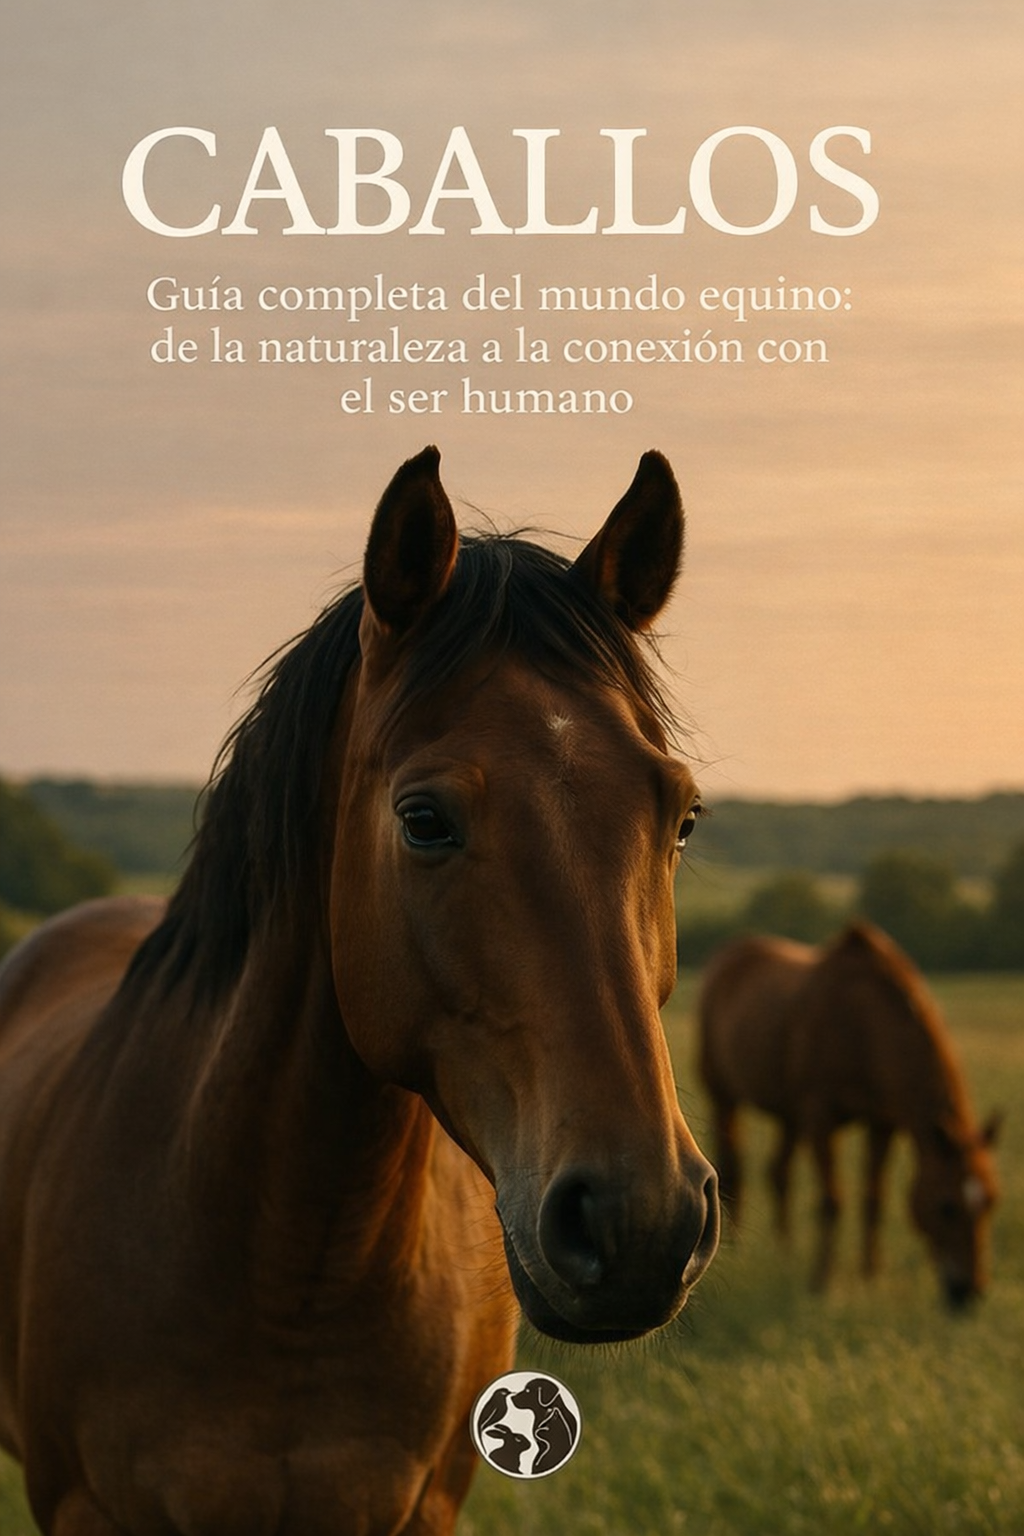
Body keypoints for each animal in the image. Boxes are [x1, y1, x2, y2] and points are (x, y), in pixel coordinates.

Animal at [697, 921, 999, 1308]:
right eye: (946, 1206)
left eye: (991, 1200)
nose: (970, 1290)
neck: (864, 1027)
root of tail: (726, 956)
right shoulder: (821, 1120)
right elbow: (832, 1201)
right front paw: (820, 1282)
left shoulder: (882, 1124)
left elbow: (874, 1198)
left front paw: (871, 1274)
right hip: (723, 1097)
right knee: (734, 1168)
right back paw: (739, 1253)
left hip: (788, 1116)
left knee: (779, 1172)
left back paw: (784, 1251)